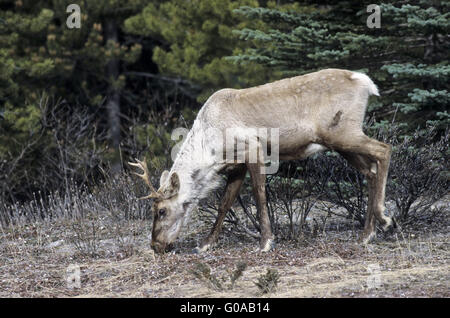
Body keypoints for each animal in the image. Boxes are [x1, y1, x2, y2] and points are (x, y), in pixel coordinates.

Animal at [128, 67, 396, 253]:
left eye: (161, 211)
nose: (155, 245)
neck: (211, 152)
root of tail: (365, 82)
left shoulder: (253, 148)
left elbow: (259, 194)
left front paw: (266, 241)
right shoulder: (235, 165)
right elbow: (225, 202)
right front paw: (205, 243)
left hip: (342, 132)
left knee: (384, 149)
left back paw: (384, 219)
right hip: (338, 141)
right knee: (370, 171)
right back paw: (367, 234)